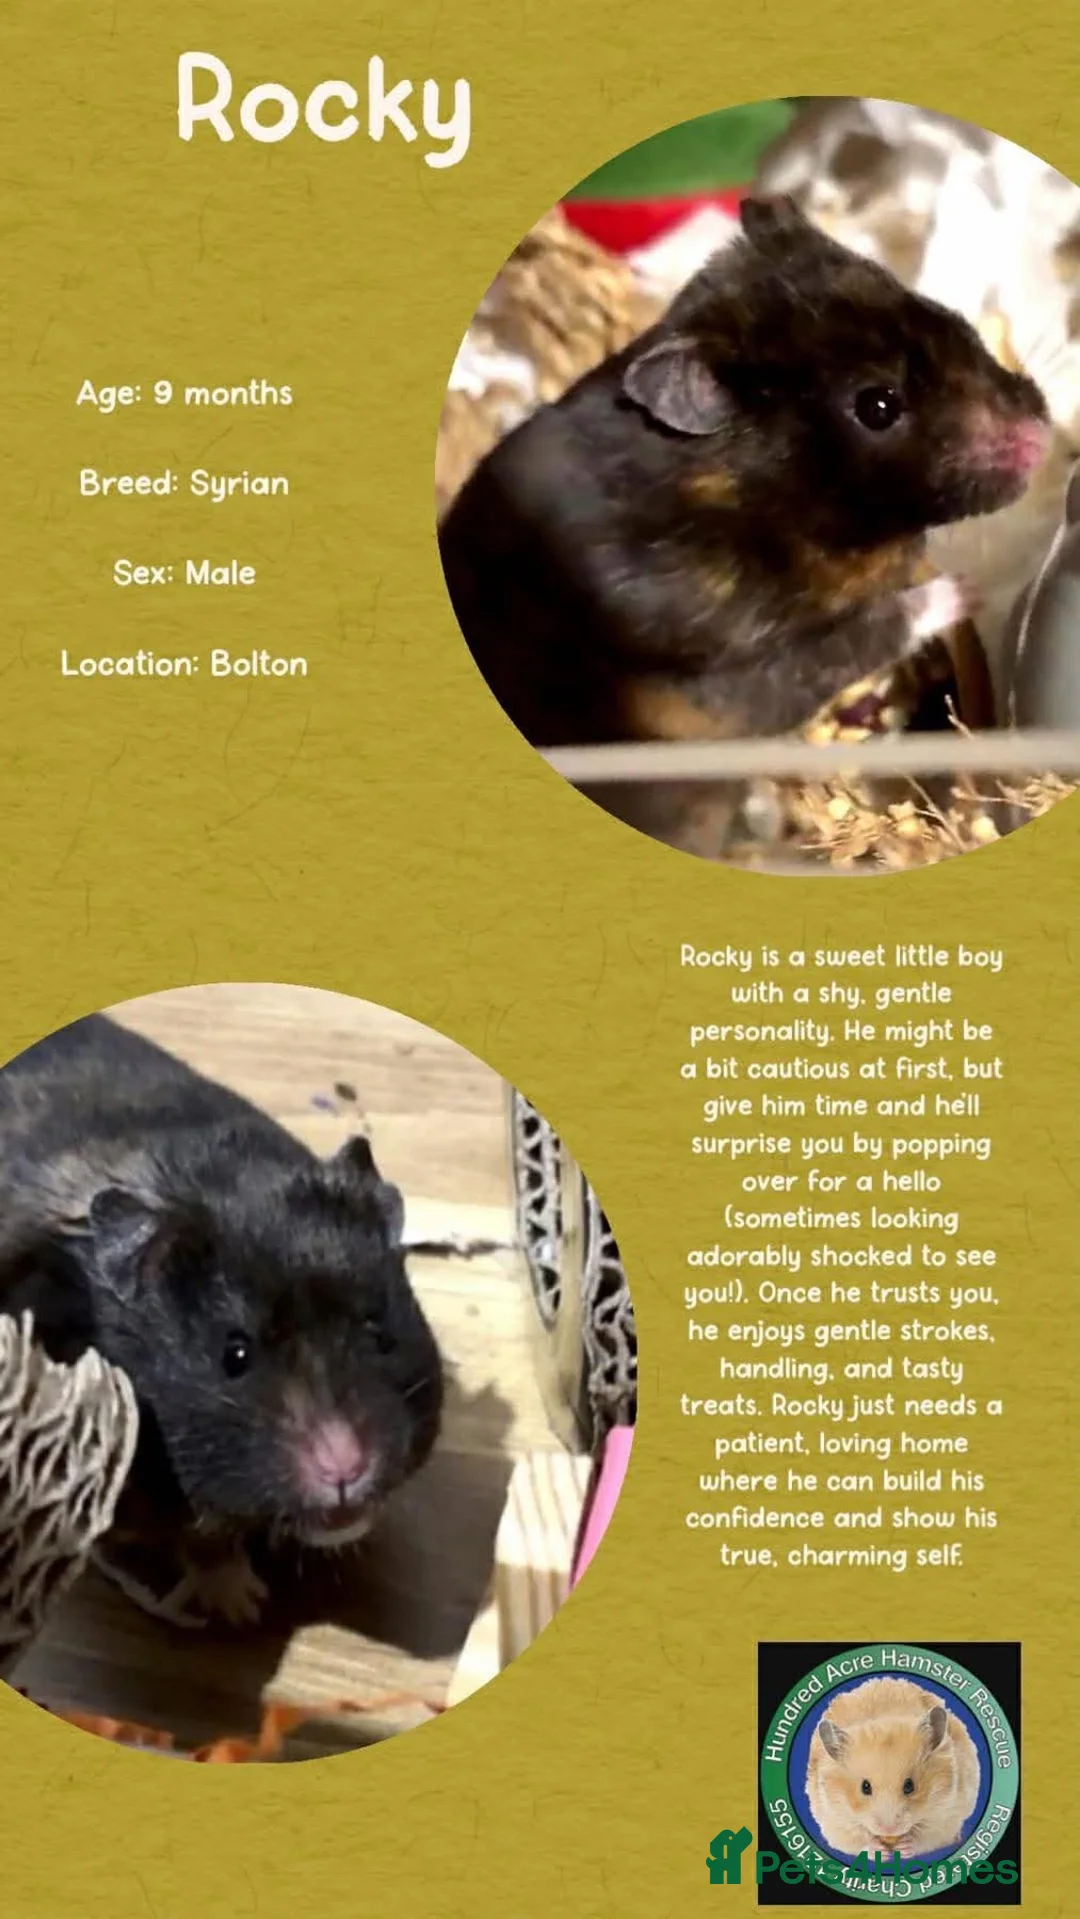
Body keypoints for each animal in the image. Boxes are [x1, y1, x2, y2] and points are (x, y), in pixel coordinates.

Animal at [439, 195, 1050, 846]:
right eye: (878, 406)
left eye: (949, 316)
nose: (1040, 435)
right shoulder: (748, 673)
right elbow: (874, 630)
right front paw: (968, 588)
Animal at [807, 1677, 981, 1860]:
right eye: (865, 1787)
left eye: (910, 1786)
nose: (889, 1829)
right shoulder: (835, 1819)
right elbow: (855, 1840)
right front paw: (880, 1852)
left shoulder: (946, 1813)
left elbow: (927, 1837)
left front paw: (904, 1846)